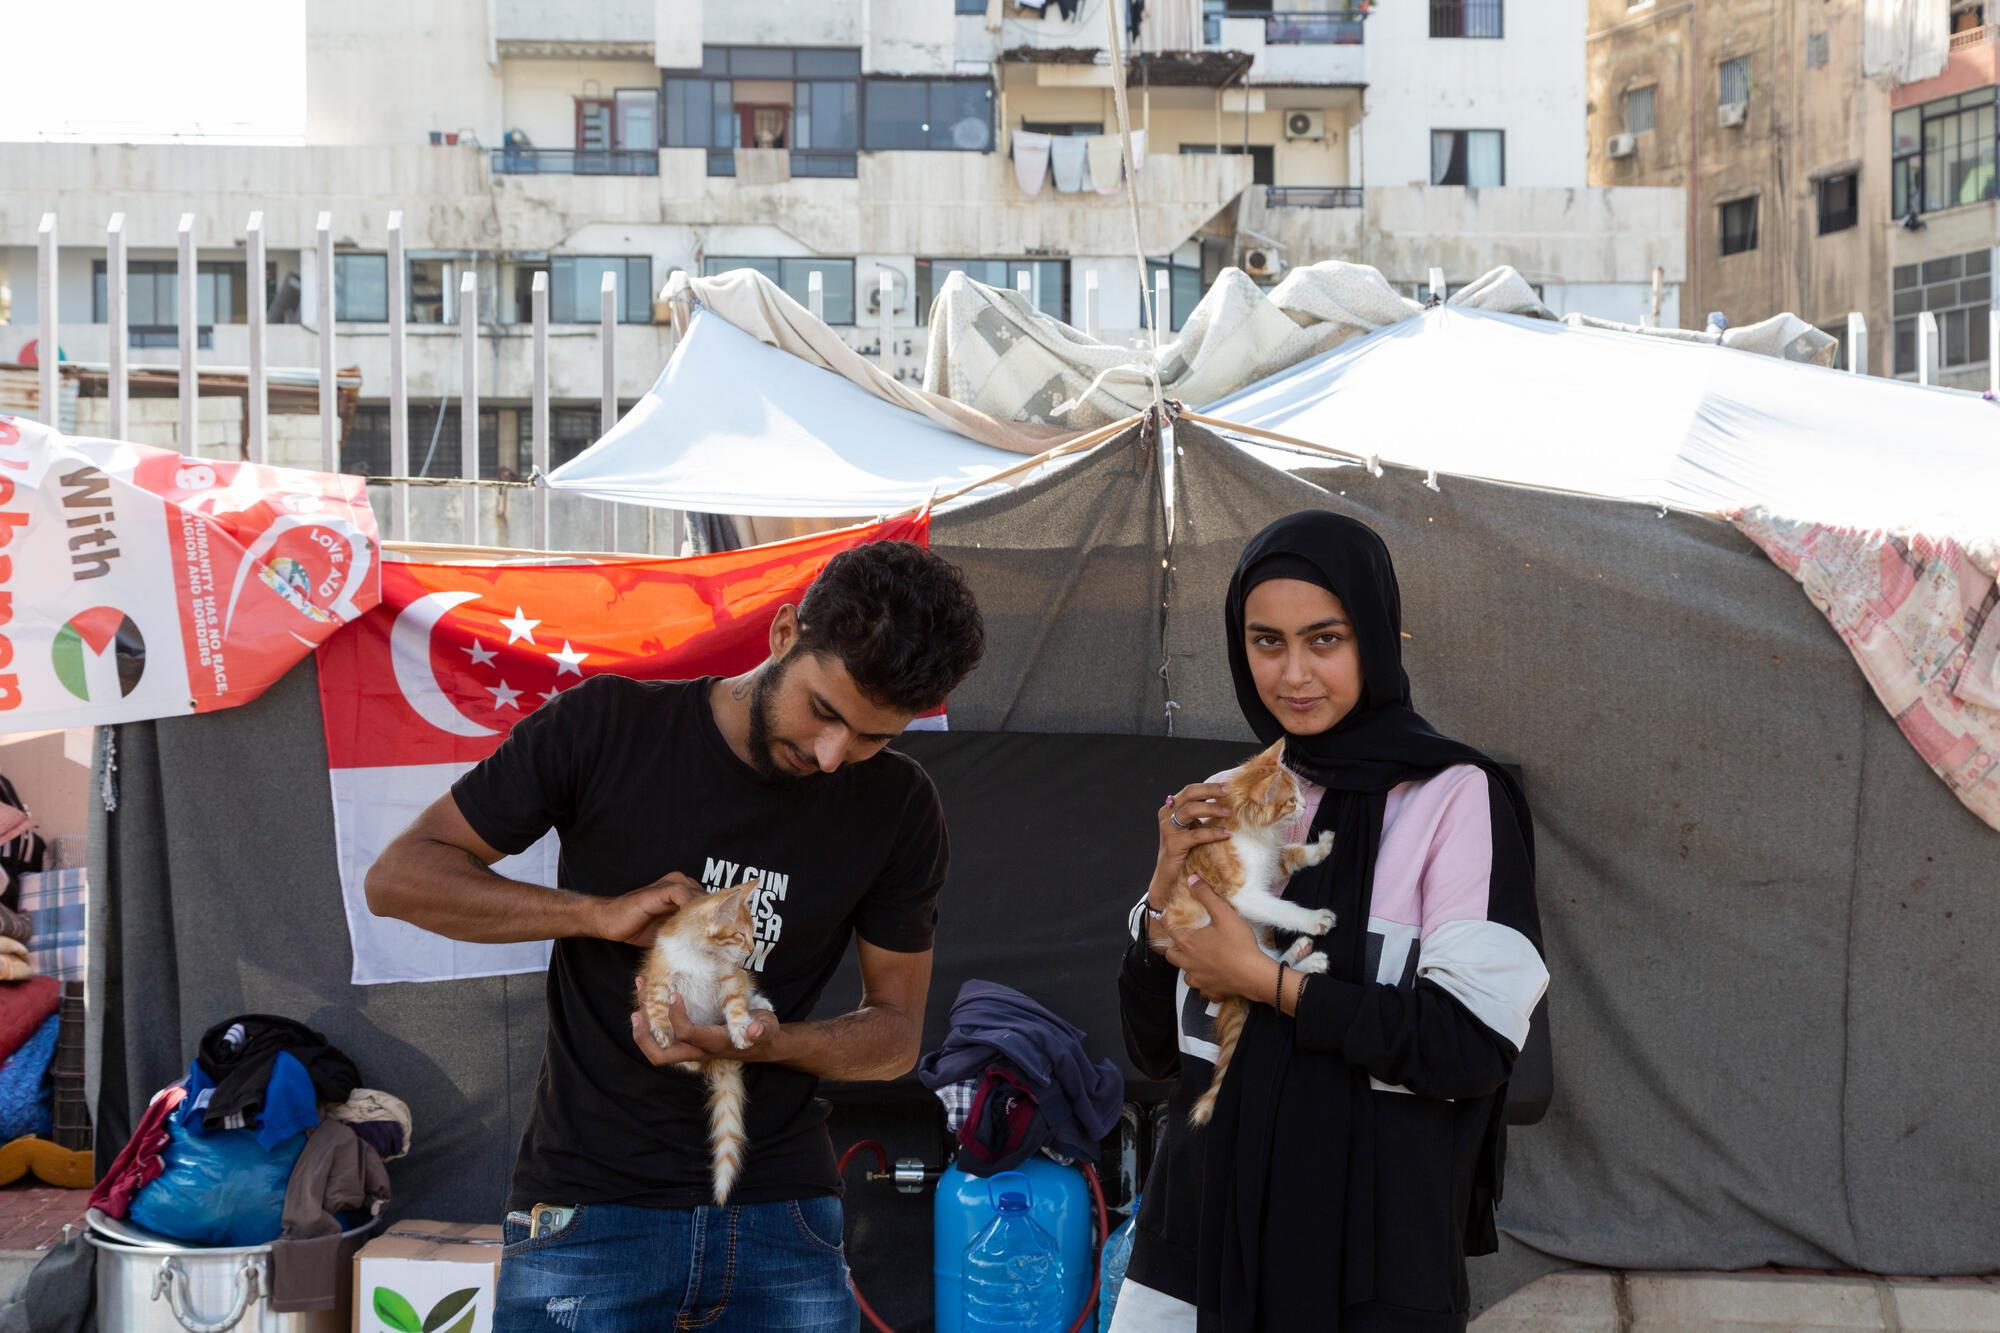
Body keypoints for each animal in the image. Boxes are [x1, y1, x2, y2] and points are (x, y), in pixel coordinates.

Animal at [636, 876, 768, 1200]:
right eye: (740, 935)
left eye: (753, 935)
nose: (751, 948)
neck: (702, 955)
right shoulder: (659, 977)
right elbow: (656, 1004)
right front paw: (662, 1031)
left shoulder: (731, 978)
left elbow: (736, 1003)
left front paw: (741, 1029)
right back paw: (691, 1061)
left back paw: (760, 1004)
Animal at [1168, 736, 1336, 1120]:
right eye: (1290, 800)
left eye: (1299, 793)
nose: (1305, 804)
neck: (1251, 834)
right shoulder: (1242, 894)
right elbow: (1280, 908)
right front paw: (1314, 919)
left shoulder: (1270, 862)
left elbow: (1289, 856)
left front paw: (1319, 848)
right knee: (1266, 970)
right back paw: (1308, 958)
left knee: (1274, 964)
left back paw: (1301, 952)